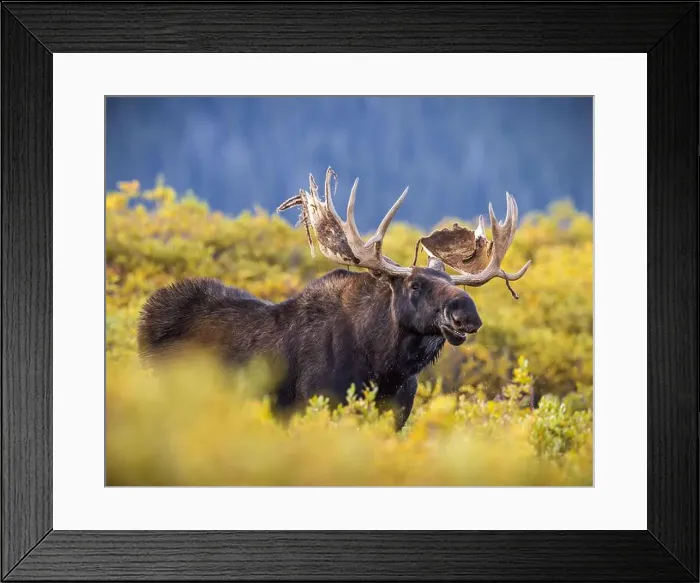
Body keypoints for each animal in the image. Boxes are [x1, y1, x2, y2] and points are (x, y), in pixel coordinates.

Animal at [137, 168, 531, 430]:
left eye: (453, 282)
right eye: (414, 285)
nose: (466, 313)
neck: (384, 367)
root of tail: (145, 318)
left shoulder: (396, 417)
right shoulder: (314, 404)